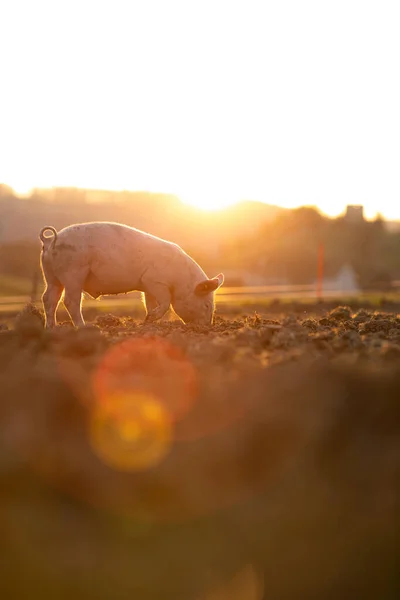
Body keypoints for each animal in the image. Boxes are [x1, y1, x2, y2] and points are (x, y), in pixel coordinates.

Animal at [39, 221, 223, 328]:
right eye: (207, 305)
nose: (207, 328)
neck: (181, 280)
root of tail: (50, 240)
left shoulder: (147, 286)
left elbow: (149, 303)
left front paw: (148, 321)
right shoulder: (155, 281)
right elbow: (165, 302)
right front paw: (151, 318)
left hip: (51, 276)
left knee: (48, 298)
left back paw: (51, 328)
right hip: (73, 273)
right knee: (70, 301)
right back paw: (85, 328)